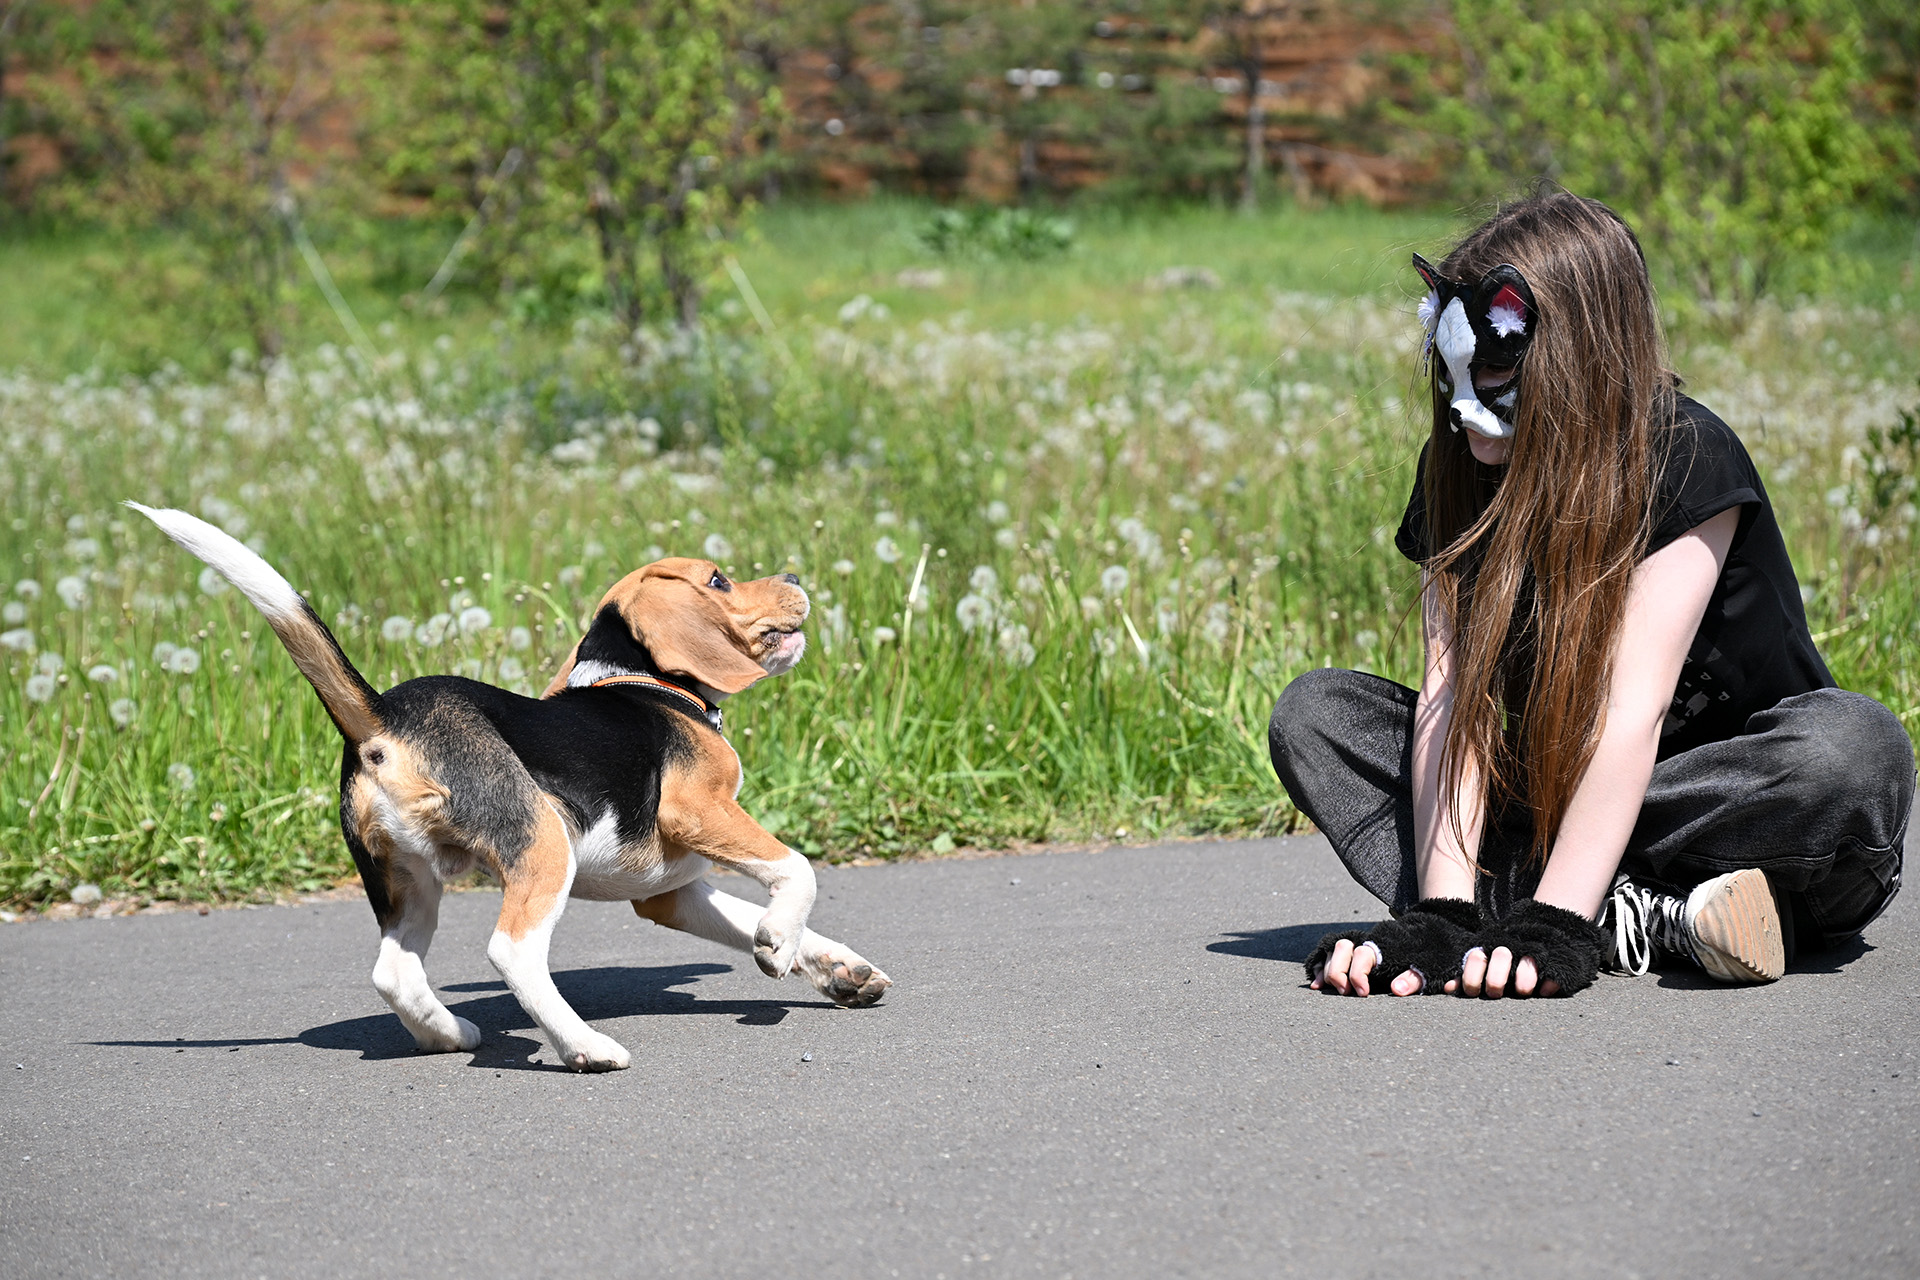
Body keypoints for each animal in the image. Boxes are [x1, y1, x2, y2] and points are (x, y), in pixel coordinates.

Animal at [131, 506, 894, 1074]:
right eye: (720, 579)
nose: (795, 574)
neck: (646, 681)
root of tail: (383, 717)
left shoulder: (668, 892)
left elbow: (755, 915)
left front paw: (834, 968)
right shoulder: (701, 810)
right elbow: (797, 870)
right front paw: (778, 944)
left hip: (406, 880)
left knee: (393, 972)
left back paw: (448, 1034)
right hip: (544, 843)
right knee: (512, 953)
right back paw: (585, 1047)